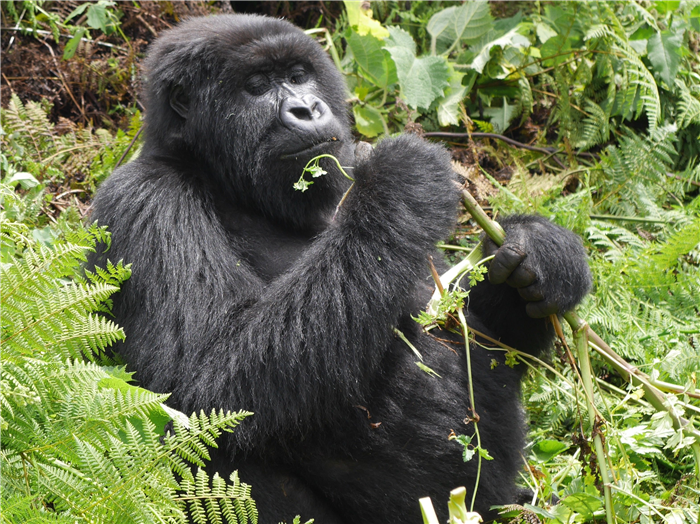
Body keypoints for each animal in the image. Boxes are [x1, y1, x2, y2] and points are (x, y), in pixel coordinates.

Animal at [87, 14, 592, 524]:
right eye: (257, 86)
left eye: (297, 76)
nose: (306, 108)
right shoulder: (145, 200)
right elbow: (205, 383)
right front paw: (400, 177)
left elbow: (492, 338)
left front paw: (536, 251)